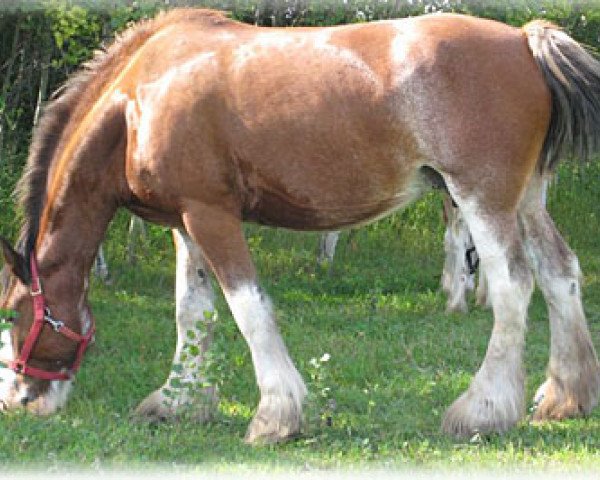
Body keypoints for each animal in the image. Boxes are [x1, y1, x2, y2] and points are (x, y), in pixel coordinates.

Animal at [1, 8, 600, 442]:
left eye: (12, 314)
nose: (19, 401)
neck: (139, 101)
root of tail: (524, 39)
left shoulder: (212, 215)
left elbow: (248, 309)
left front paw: (275, 416)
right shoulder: (185, 222)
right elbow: (193, 313)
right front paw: (178, 402)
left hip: (482, 196)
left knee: (514, 285)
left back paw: (482, 409)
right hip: (526, 199)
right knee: (559, 273)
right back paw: (565, 397)